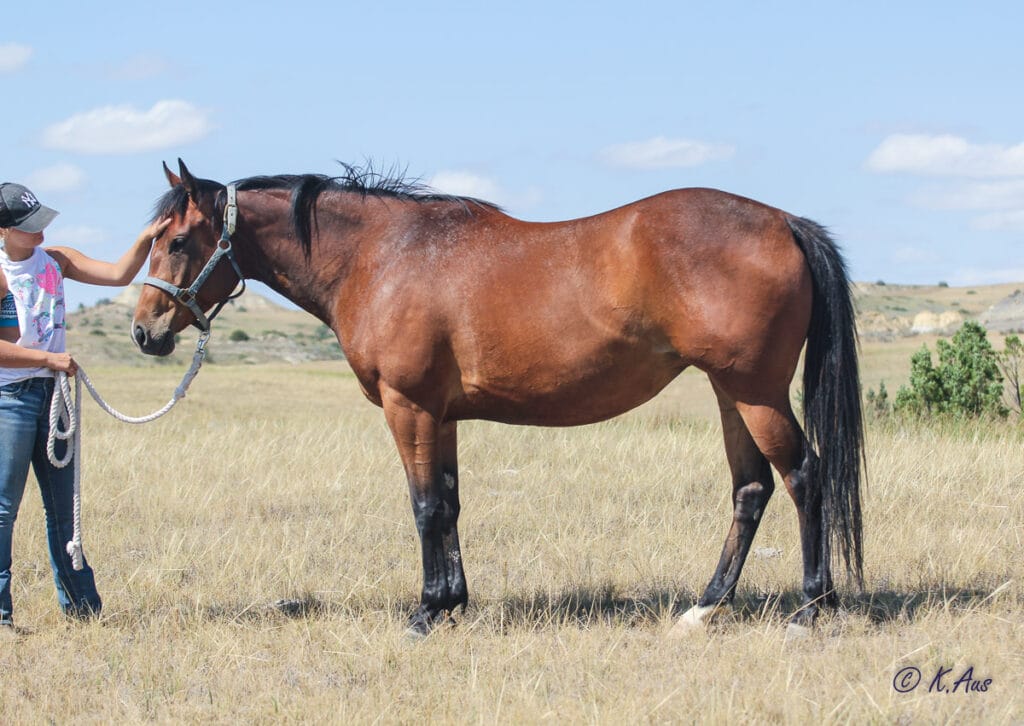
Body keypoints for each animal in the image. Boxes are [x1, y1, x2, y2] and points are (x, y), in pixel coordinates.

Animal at [131, 159, 863, 636]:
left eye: (176, 240)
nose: (145, 330)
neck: (380, 256)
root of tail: (784, 222)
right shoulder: (442, 415)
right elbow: (451, 503)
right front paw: (454, 602)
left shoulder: (409, 407)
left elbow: (425, 506)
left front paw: (426, 610)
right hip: (729, 391)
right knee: (751, 489)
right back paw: (705, 607)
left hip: (755, 392)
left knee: (804, 476)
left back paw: (811, 609)